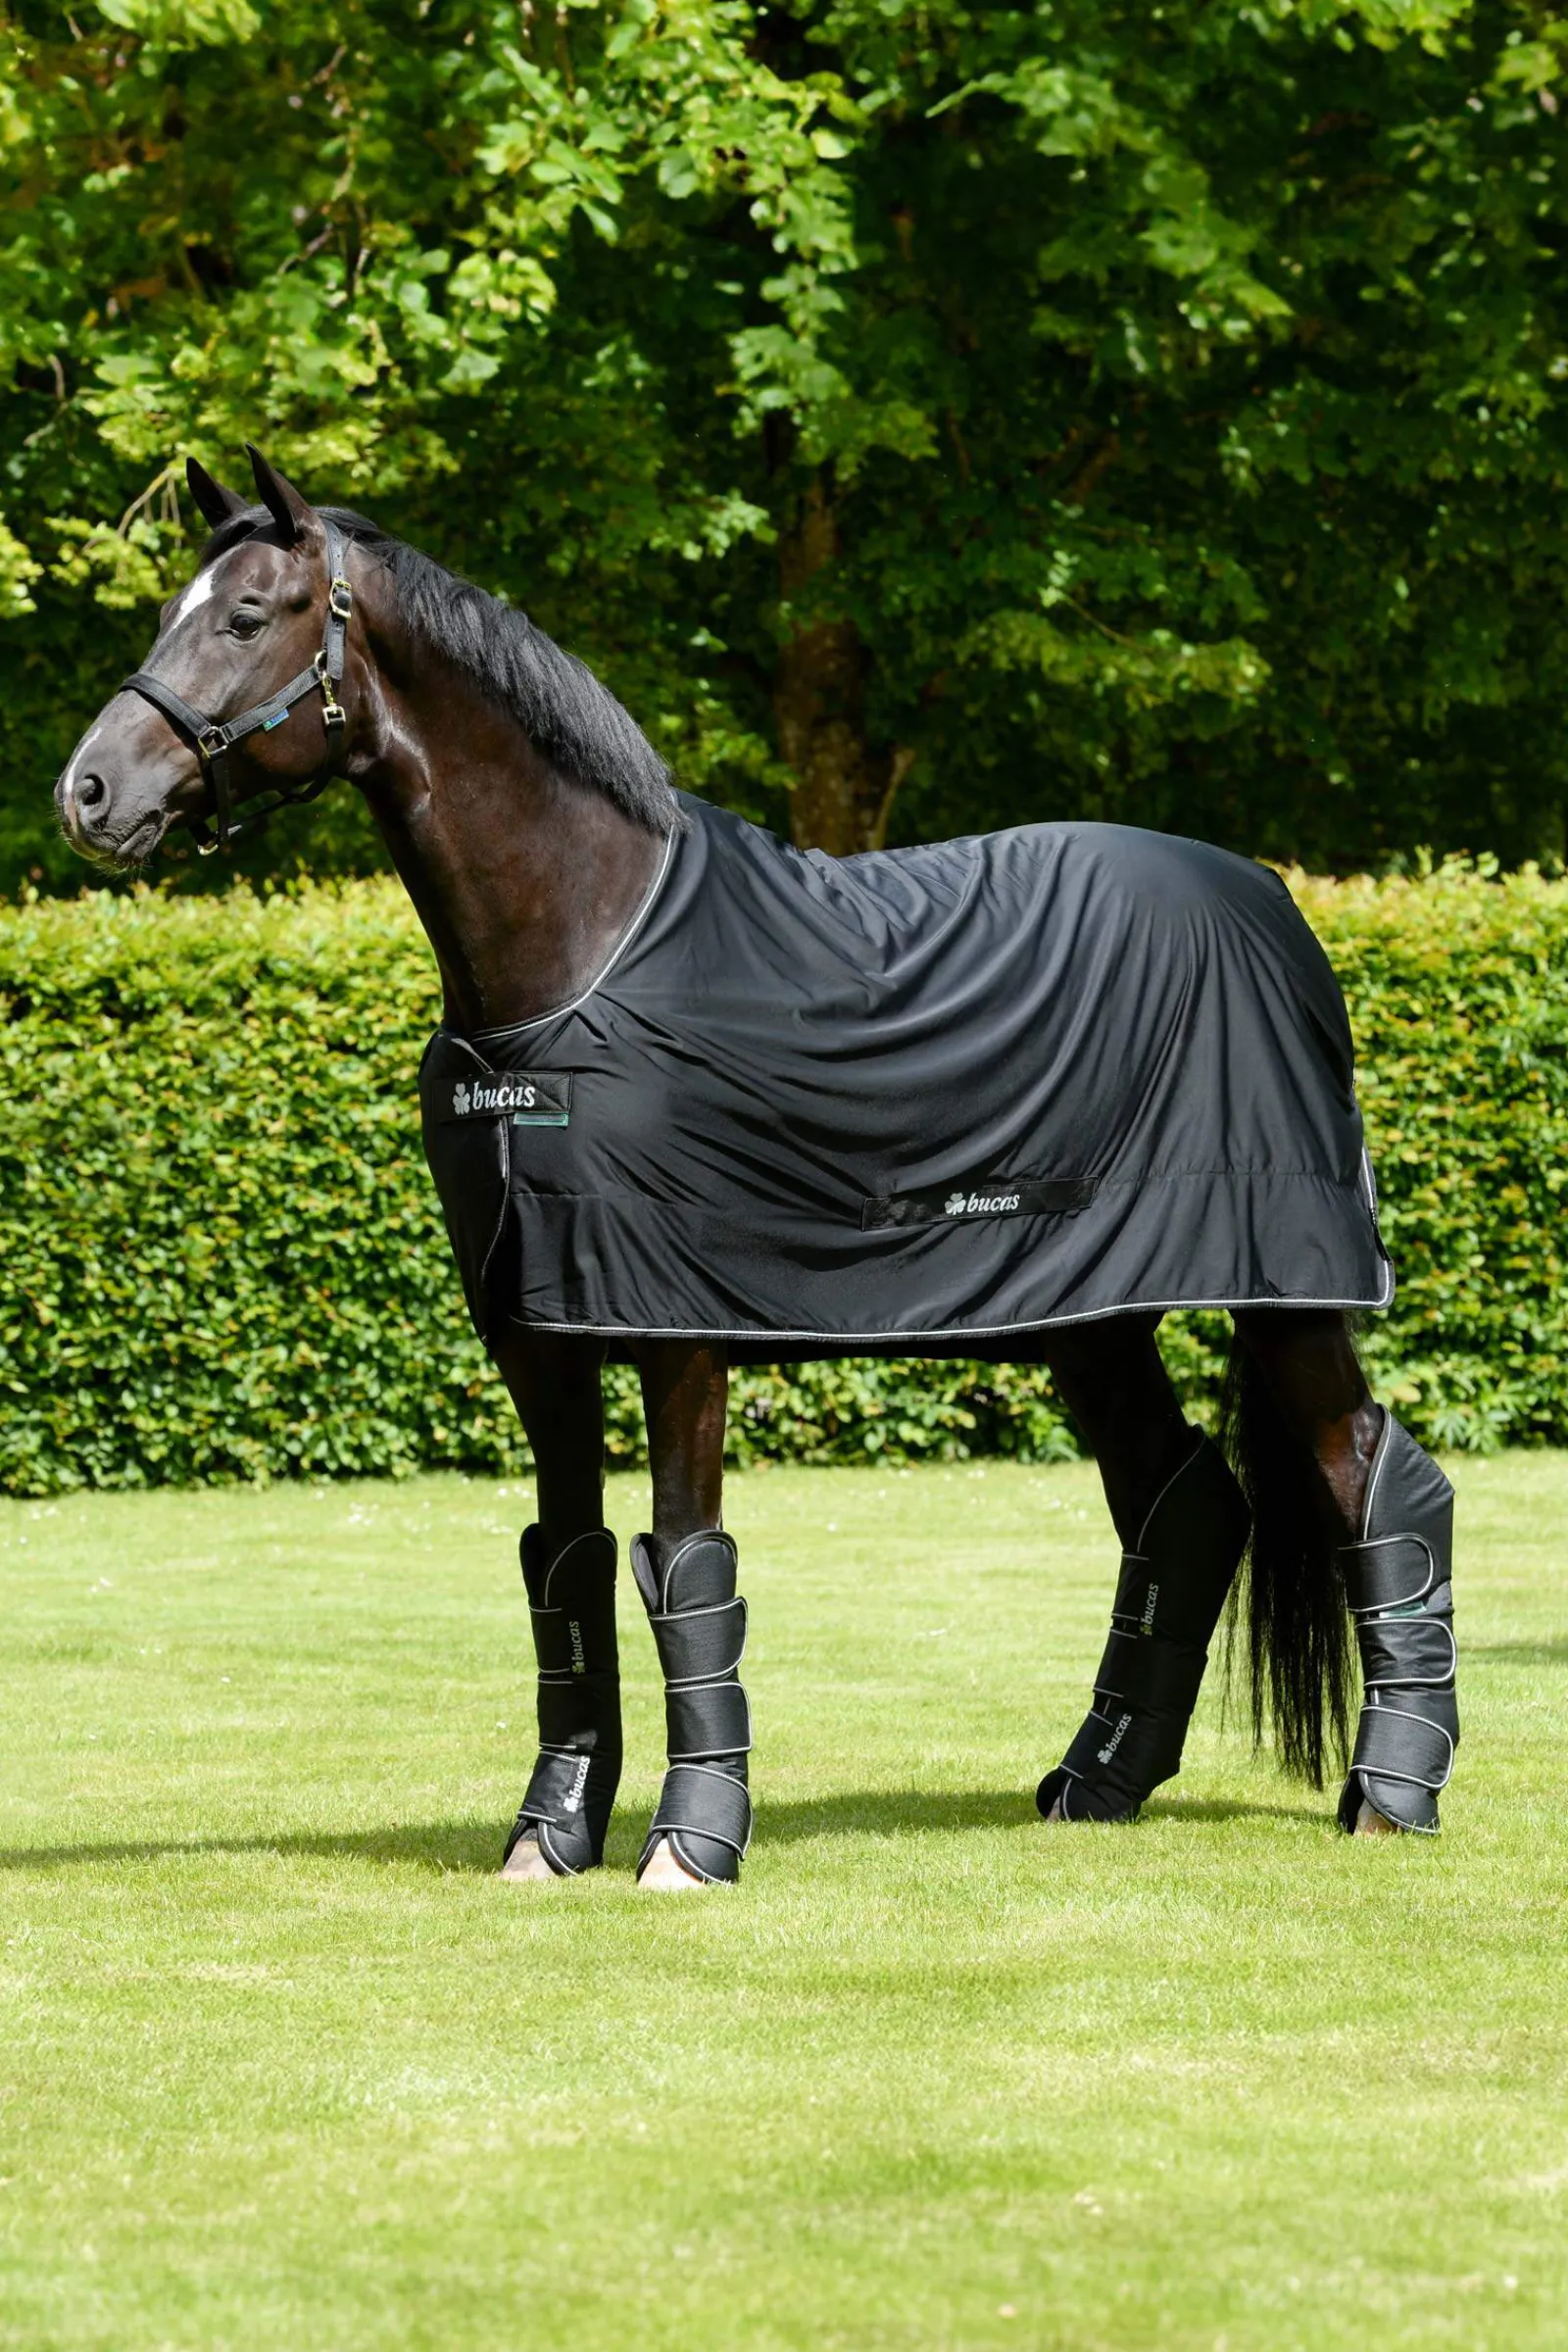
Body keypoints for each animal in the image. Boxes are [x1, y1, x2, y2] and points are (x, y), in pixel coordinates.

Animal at [55, 447, 1459, 1888]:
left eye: (245, 615)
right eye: (169, 609)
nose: (89, 794)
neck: (584, 953)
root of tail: (1271, 904)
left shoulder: (676, 1319)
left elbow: (684, 1564)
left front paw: (690, 1846)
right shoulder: (538, 1327)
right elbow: (565, 1565)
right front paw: (550, 1836)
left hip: (1284, 1288)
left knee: (1377, 1480)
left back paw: (1389, 1795)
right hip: (1092, 1312)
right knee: (1183, 1506)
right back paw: (1098, 1782)